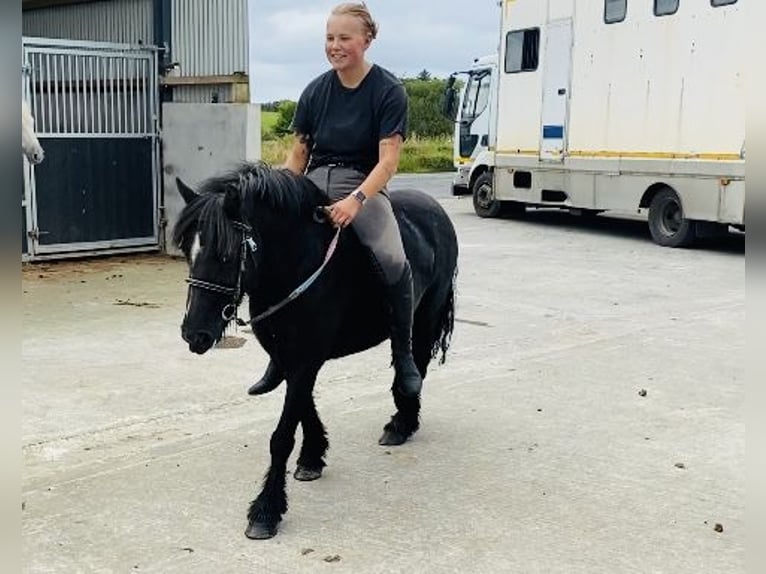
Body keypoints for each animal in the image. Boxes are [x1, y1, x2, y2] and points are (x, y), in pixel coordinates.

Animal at [174, 164, 460, 544]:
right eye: (186, 252)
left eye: (225, 254)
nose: (195, 334)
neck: (298, 263)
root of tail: (435, 208)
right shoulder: (289, 358)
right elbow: (304, 405)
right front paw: (312, 457)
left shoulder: (306, 358)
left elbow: (282, 436)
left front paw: (266, 510)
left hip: (426, 315)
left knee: (416, 364)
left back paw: (402, 422)